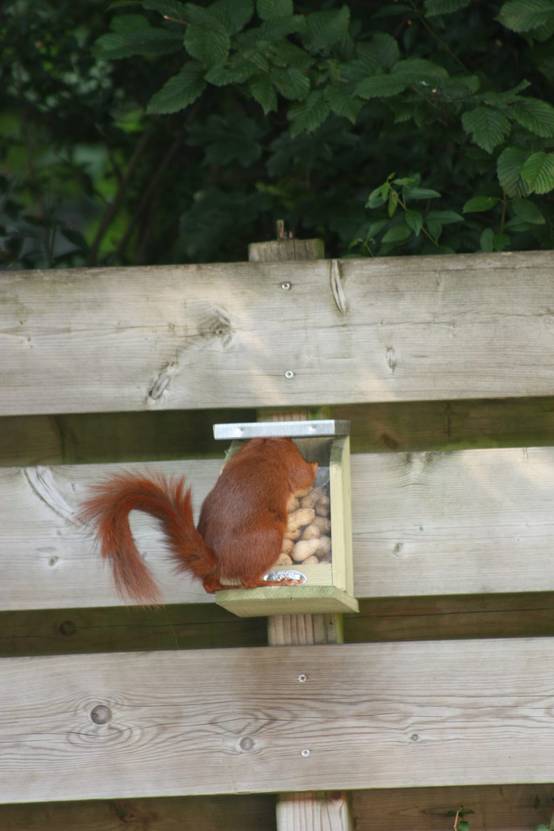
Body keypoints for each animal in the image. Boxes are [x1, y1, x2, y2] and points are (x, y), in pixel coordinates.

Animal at [80, 437, 318, 602]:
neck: (263, 443)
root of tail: (217, 559)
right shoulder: (290, 460)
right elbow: (304, 476)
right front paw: (315, 465)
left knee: (211, 585)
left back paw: (225, 587)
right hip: (269, 540)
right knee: (249, 582)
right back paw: (279, 582)